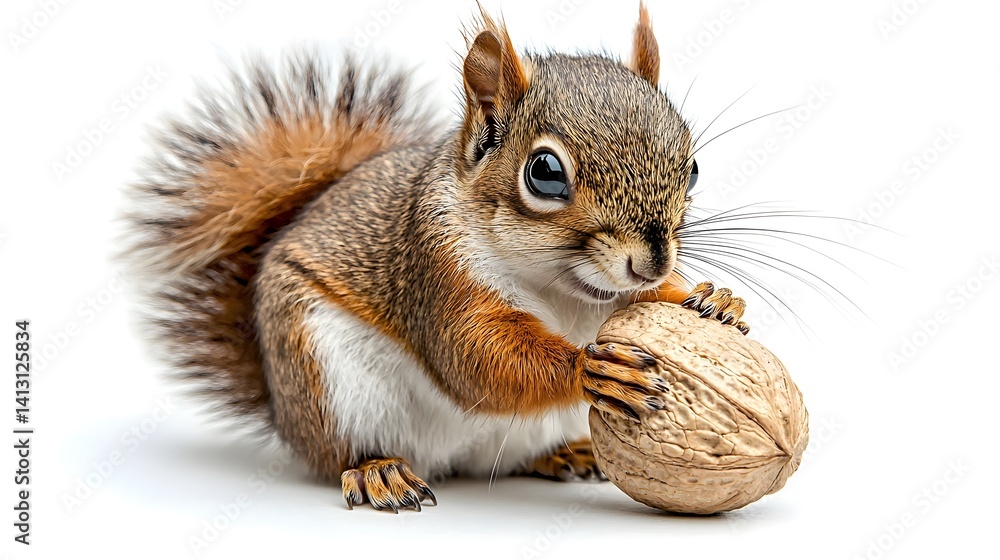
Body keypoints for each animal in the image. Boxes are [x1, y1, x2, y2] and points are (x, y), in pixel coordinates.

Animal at [123, 4, 750, 512]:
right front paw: (590, 369)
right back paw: (378, 472)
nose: (653, 260)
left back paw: (565, 454)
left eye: (693, 166)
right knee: (340, 454)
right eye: (545, 173)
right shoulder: (439, 270)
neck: (563, 289)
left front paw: (713, 297)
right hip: (322, 371)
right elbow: (476, 359)